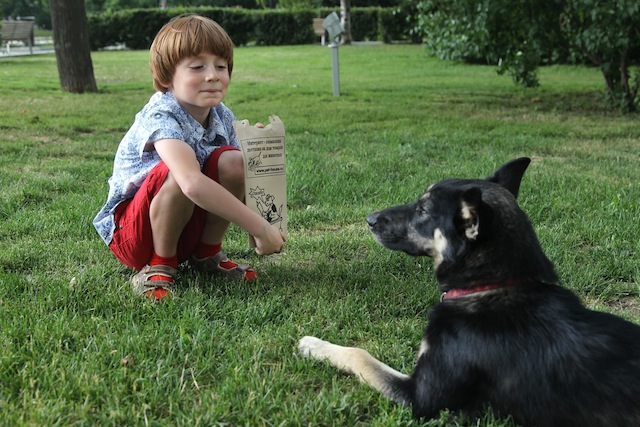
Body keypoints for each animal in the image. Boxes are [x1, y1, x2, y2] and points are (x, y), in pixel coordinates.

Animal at [298, 158, 640, 427]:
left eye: (423, 210)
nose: (369, 219)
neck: (491, 286)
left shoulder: (422, 398)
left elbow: (361, 355)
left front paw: (314, 345)